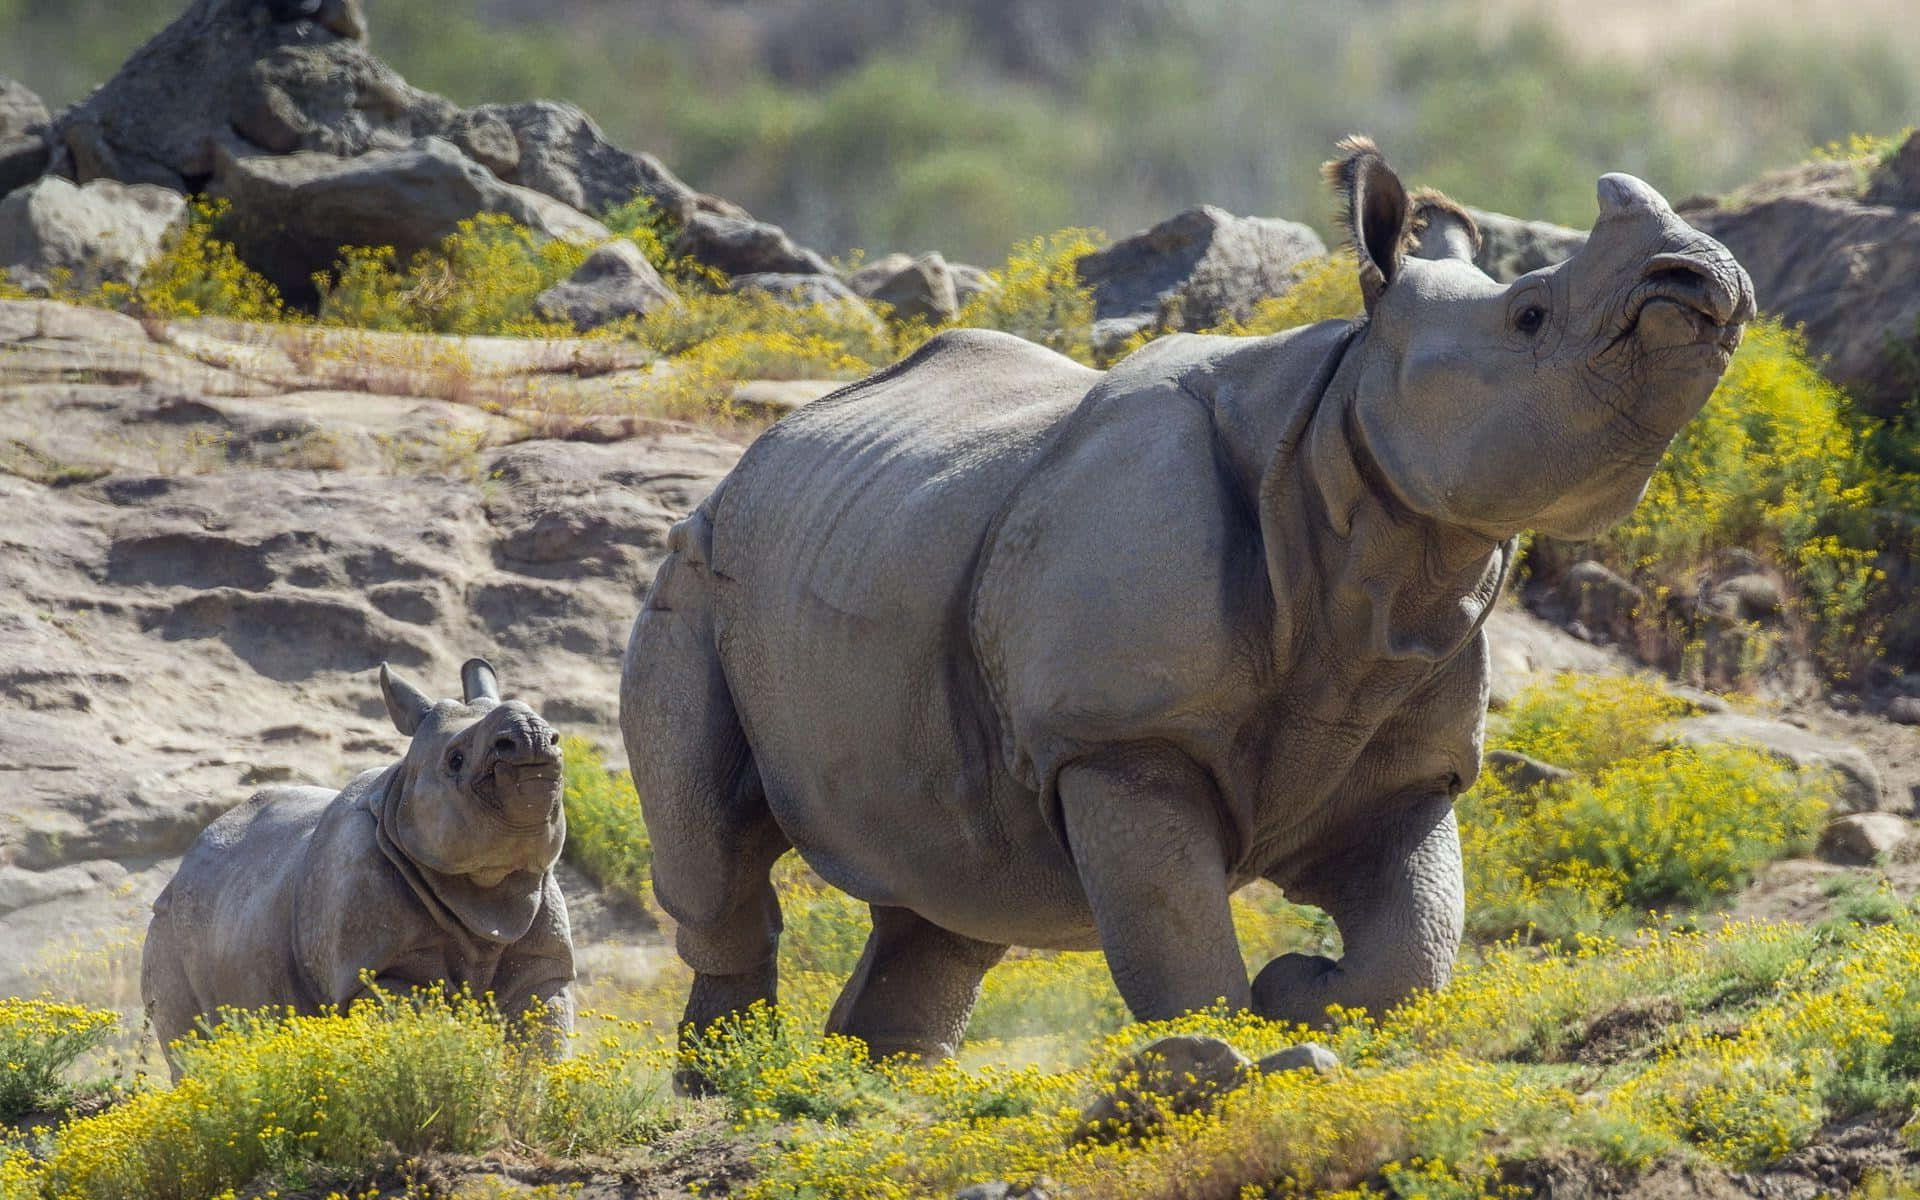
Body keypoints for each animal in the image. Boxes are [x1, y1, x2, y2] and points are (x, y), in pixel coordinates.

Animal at [142, 659, 575, 1072]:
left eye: (556, 740)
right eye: (455, 760)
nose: (533, 737)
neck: (486, 884)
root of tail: (178, 872)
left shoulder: (544, 962)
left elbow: (539, 1047)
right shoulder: (379, 967)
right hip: (168, 927)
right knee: (191, 1050)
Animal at [620, 138, 1754, 1070]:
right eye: (1531, 315)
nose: (1703, 281)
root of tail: (745, 465)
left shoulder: (1405, 750)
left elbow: (1413, 949)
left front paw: (1305, 994)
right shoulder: (1120, 739)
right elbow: (1176, 932)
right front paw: (1234, 1049)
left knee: (951, 885)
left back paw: (875, 1076)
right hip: (692, 573)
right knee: (719, 854)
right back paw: (736, 1079)